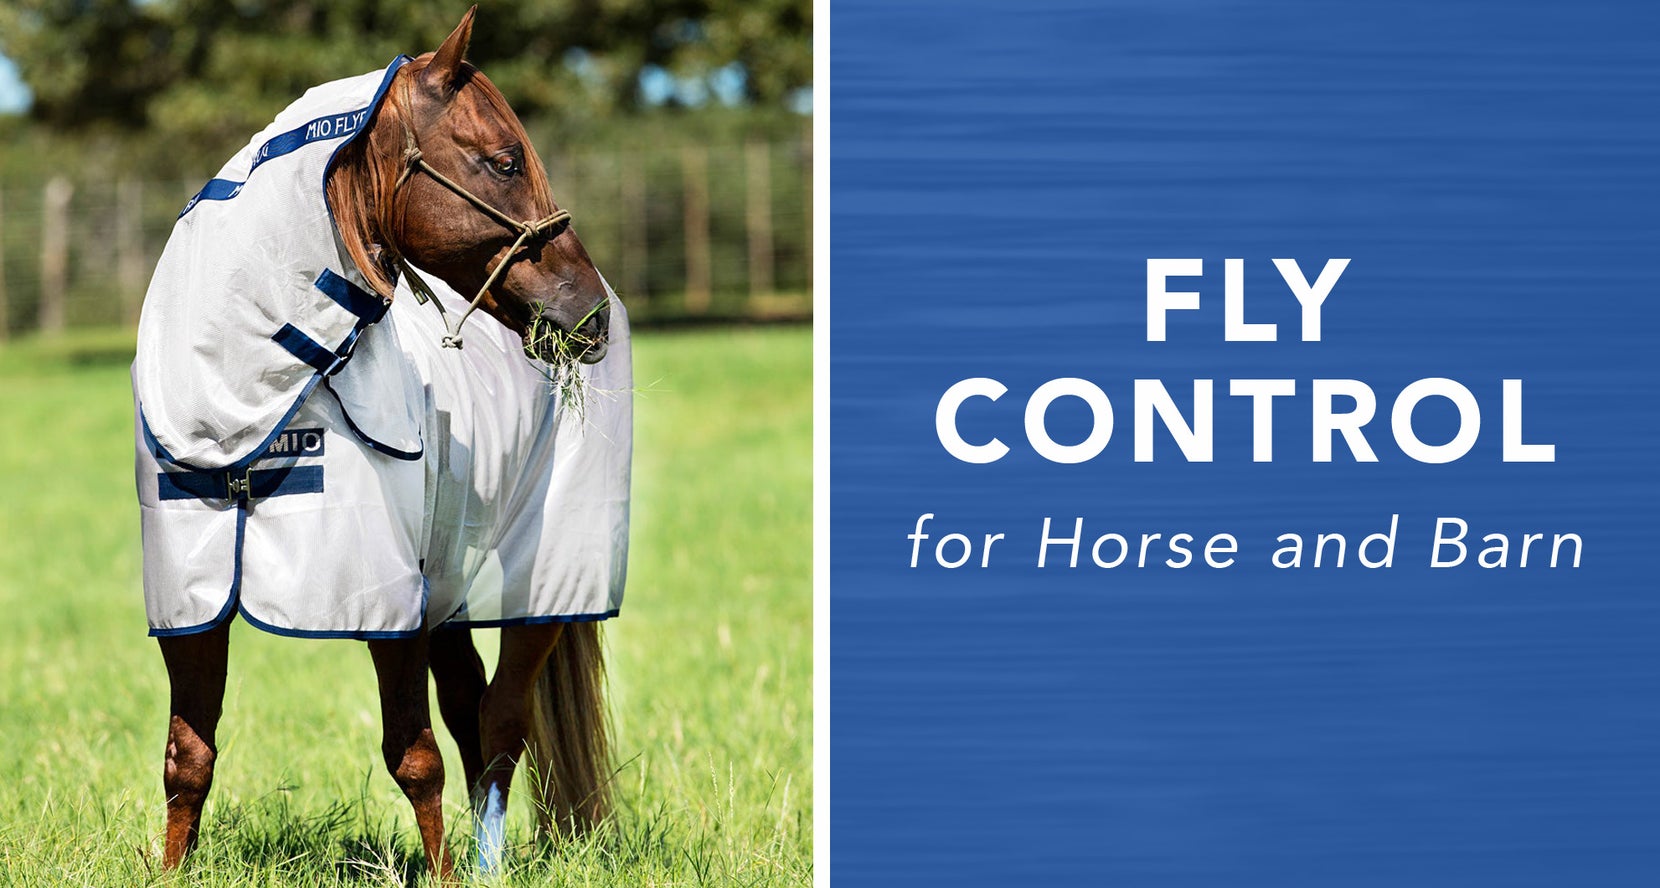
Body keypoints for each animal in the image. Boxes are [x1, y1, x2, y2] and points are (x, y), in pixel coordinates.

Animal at [136, 8, 625, 879]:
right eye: (503, 160)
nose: (588, 314)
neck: (243, 412)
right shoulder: (190, 603)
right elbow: (187, 757)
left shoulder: (385, 606)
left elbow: (414, 756)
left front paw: (444, 879)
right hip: (451, 592)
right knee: (474, 713)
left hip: (547, 586)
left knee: (502, 723)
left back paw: (487, 866)